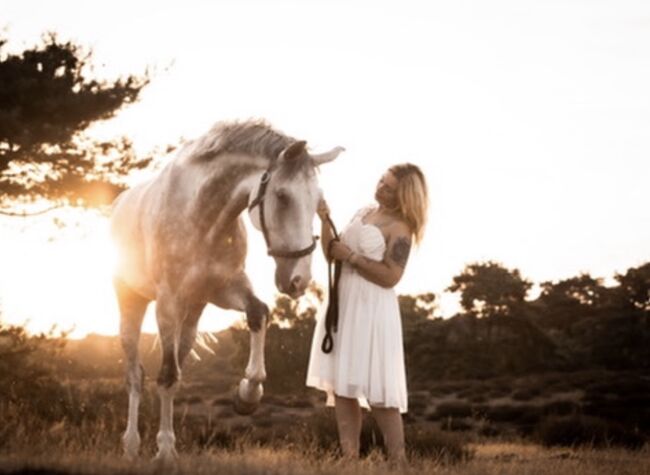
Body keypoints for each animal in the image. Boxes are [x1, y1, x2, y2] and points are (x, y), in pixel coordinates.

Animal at [110, 121, 344, 462]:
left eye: (318, 202)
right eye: (283, 196)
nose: (299, 280)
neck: (202, 216)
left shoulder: (223, 289)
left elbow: (259, 312)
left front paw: (248, 395)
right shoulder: (167, 303)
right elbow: (166, 377)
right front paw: (165, 451)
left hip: (193, 314)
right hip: (132, 303)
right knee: (135, 375)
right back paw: (131, 445)